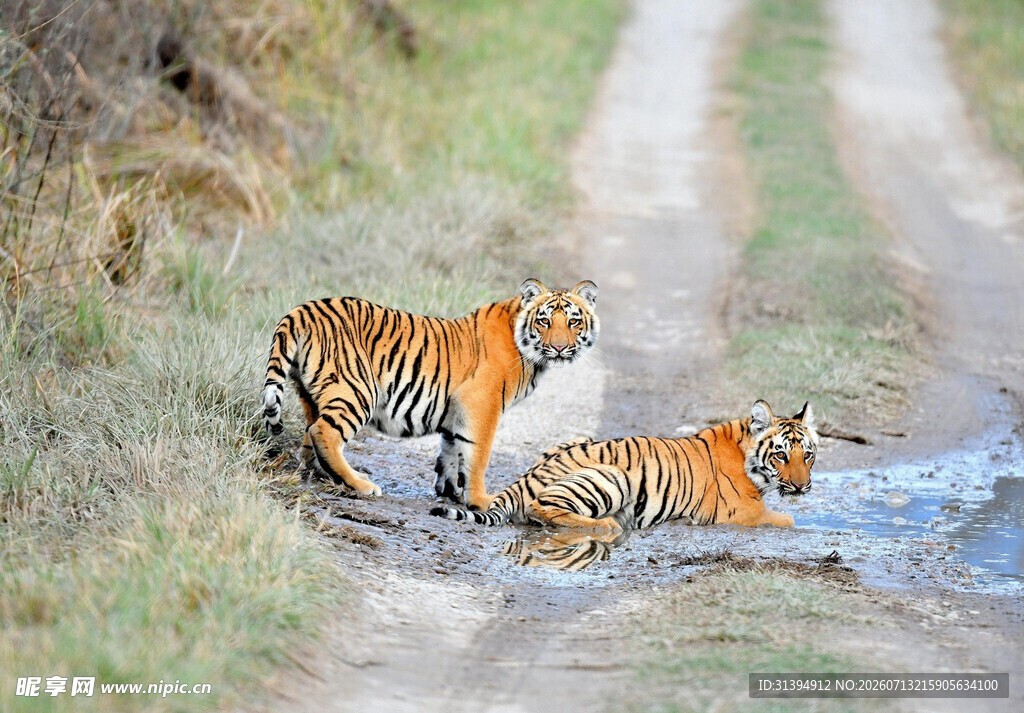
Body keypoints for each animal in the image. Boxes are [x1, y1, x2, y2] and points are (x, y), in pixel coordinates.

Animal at [261, 278, 599, 510]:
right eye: (544, 321)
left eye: (573, 321)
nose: (559, 347)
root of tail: (302, 310)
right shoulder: (481, 405)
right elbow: (478, 456)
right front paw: (481, 500)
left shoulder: (456, 410)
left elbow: (451, 450)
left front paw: (450, 491)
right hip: (357, 390)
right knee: (325, 433)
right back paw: (360, 483)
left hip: (311, 394)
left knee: (310, 434)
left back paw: (320, 474)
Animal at [431, 400, 817, 531]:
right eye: (781, 455)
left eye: (808, 455)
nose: (802, 486)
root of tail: (524, 478)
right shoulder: (744, 513)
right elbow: (788, 520)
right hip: (612, 475)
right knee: (542, 509)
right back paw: (608, 525)